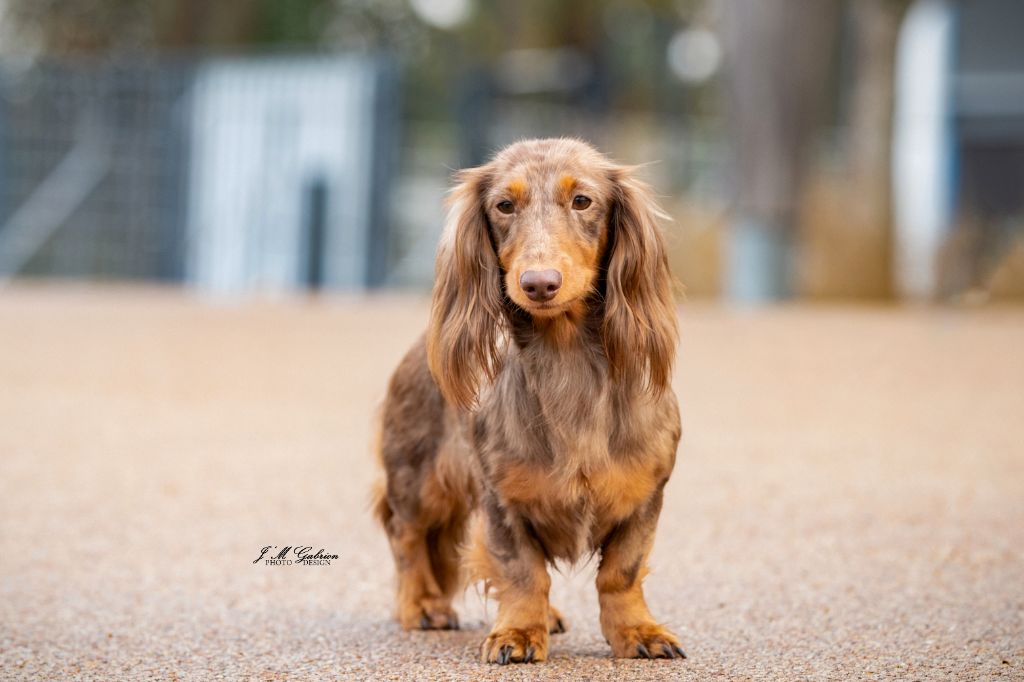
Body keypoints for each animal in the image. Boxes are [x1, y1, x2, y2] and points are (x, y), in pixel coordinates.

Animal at [372, 138, 684, 663]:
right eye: (504, 205)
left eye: (582, 201)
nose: (539, 283)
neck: (567, 361)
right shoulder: (501, 500)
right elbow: (522, 572)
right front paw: (517, 633)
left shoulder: (644, 496)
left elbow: (620, 573)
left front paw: (637, 631)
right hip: (418, 479)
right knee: (405, 535)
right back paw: (423, 604)